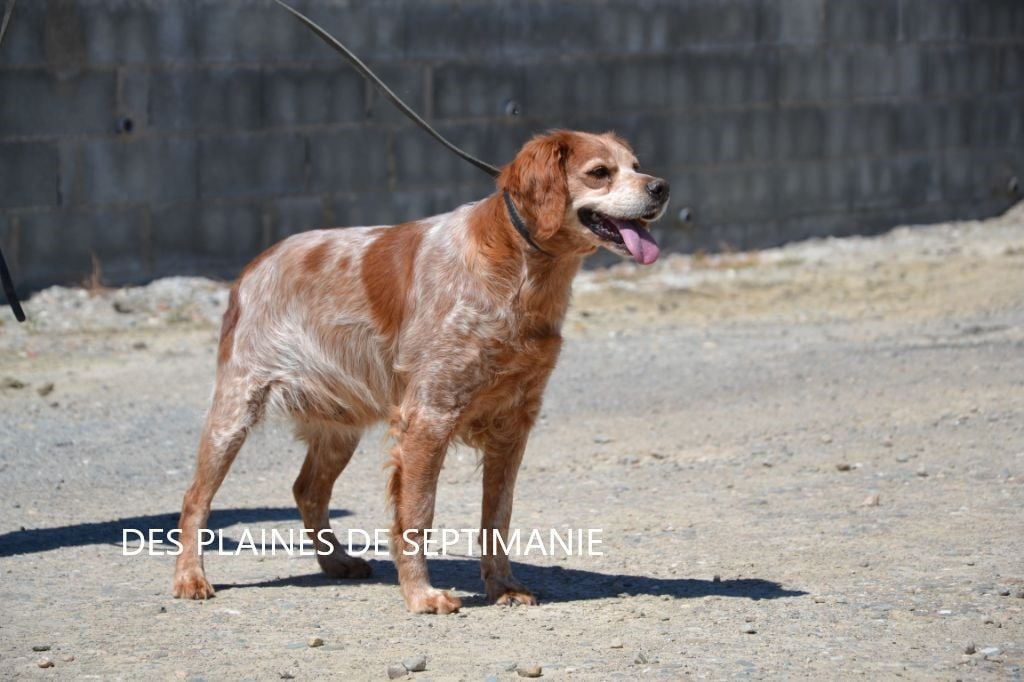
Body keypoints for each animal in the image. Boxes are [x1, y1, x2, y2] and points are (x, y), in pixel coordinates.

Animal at [174, 127, 671, 610]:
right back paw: (190, 577)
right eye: (600, 172)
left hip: (341, 426)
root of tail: (255, 264)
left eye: (637, 166)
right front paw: (420, 594)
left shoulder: (514, 423)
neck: (518, 272)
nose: (662, 187)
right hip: (234, 410)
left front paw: (503, 586)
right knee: (196, 498)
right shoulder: (429, 416)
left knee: (308, 490)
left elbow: (497, 517)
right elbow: (416, 515)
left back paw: (336, 561)